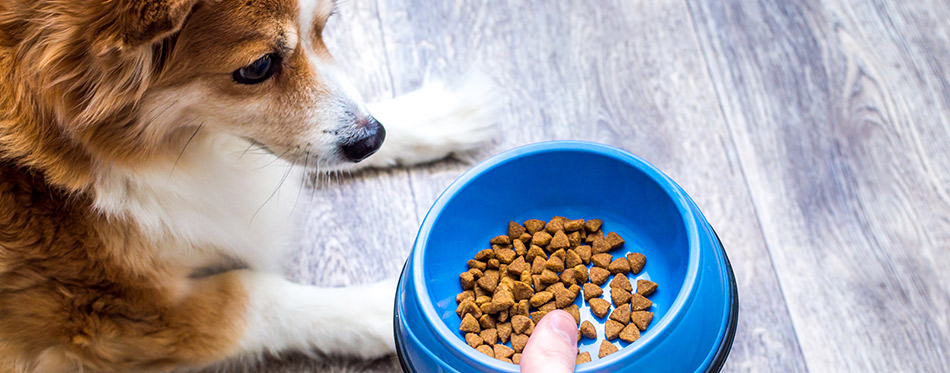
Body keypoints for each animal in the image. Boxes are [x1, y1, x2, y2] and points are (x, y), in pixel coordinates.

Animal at [0, 1, 494, 370]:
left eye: (324, 27)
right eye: (258, 66)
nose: (371, 139)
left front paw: (432, 116)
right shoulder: (106, 316)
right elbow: (253, 293)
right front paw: (381, 306)